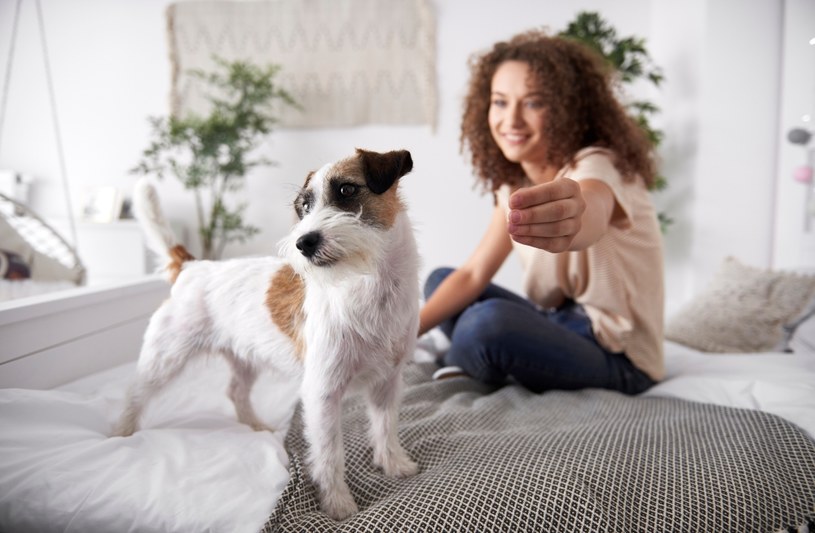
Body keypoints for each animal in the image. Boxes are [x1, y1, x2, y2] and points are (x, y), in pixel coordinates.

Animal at [115, 148, 420, 516]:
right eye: (304, 206)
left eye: (347, 190)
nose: (303, 243)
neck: (369, 285)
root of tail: (192, 266)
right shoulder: (323, 393)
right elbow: (329, 452)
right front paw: (337, 502)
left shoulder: (387, 383)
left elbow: (386, 427)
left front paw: (394, 463)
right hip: (166, 356)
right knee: (136, 392)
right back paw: (121, 432)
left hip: (244, 359)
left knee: (235, 391)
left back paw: (256, 426)